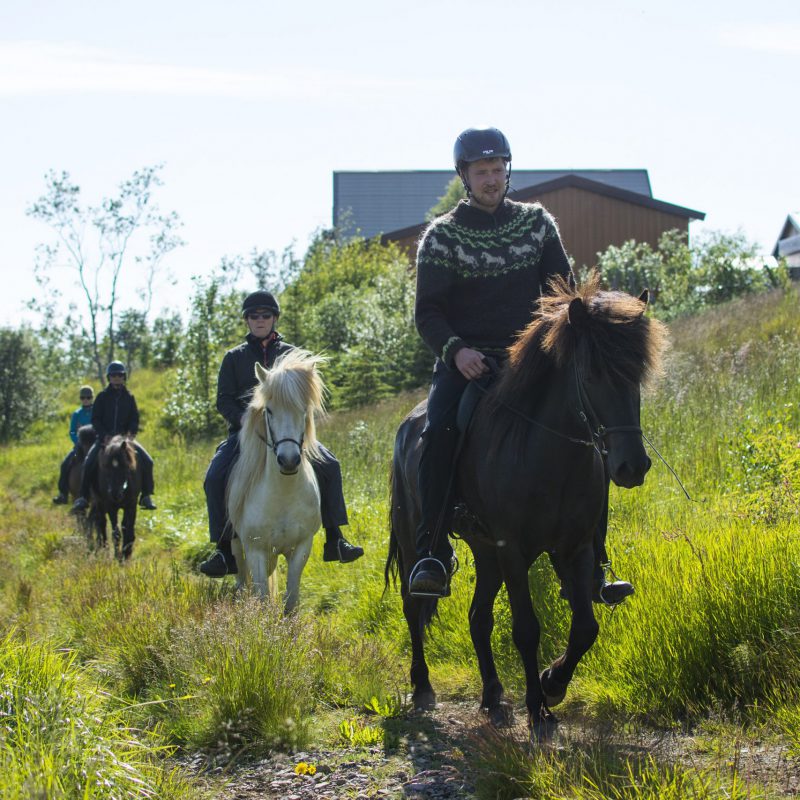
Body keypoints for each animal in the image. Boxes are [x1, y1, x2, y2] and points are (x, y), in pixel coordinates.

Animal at [225, 348, 324, 612]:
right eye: (268, 410)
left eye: (303, 409)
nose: (288, 461)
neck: (283, 495)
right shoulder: (256, 549)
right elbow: (261, 599)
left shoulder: (301, 548)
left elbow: (291, 600)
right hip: (237, 546)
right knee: (242, 579)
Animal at [388, 272, 668, 740]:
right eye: (591, 373)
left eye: (636, 373)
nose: (632, 466)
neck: (545, 453)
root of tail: (408, 425)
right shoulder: (514, 549)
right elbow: (526, 628)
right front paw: (539, 710)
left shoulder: (573, 548)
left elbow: (586, 626)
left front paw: (552, 684)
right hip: (420, 541)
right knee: (414, 607)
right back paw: (423, 688)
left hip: (485, 553)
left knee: (478, 618)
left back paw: (493, 696)